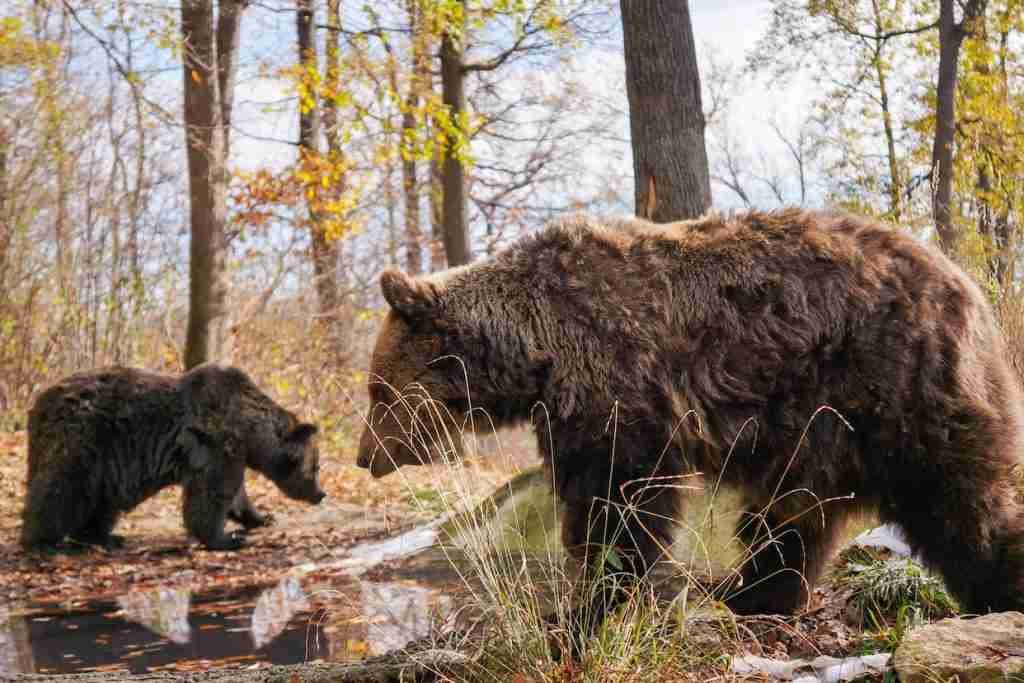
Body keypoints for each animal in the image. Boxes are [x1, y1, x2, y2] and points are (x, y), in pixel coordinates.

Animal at [22, 366, 323, 552]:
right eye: (316, 466)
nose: (321, 494)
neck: (250, 431)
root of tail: (38, 403)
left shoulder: (230, 452)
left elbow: (236, 492)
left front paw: (262, 518)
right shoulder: (213, 446)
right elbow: (211, 493)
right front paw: (226, 539)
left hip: (107, 464)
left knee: (102, 501)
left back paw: (106, 537)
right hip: (83, 439)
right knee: (61, 489)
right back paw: (44, 541)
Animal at [356, 210, 1024, 638]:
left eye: (377, 390)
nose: (366, 456)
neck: (537, 350)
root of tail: (968, 287)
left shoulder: (618, 385)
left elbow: (619, 502)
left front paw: (586, 604)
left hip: (894, 385)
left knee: (957, 497)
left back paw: (999, 587)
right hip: (817, 428)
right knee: (792, 515)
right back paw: (751, 594)